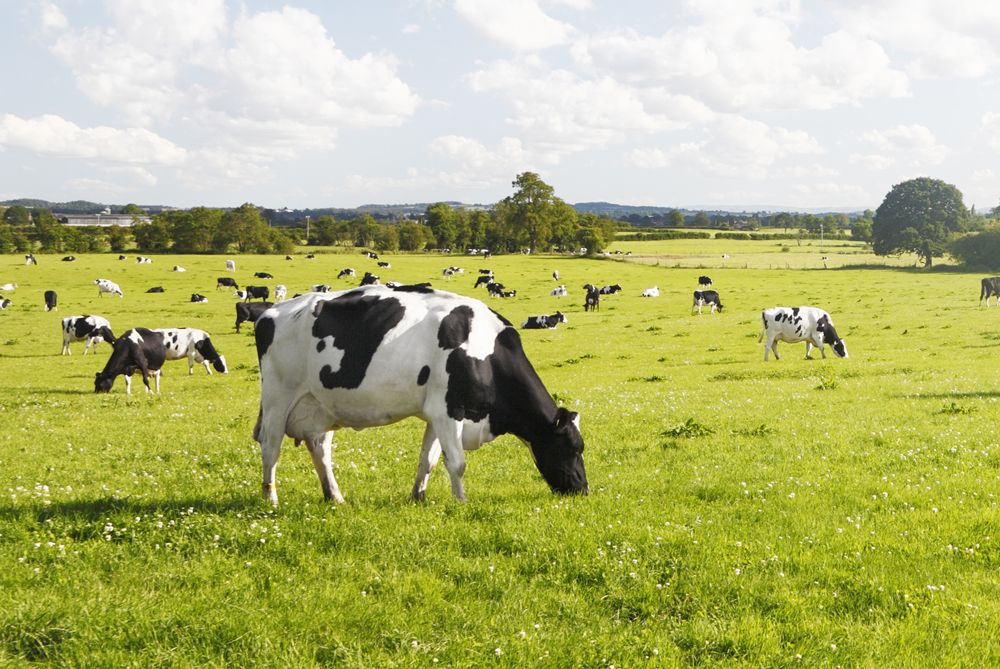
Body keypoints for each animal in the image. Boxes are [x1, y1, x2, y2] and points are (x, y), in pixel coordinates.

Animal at [250, 284, 588, 504]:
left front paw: (419, 497)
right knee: (270, 447)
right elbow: (457, 462)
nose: (582, 490)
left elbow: (429, 460)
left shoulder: (436, 413)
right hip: (278, 398)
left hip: (321, 405)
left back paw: (335, 497)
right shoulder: (449, 411)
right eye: (573, 448)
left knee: (320, 448)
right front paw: (462, 503)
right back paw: (271, 499)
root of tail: (271, 312)